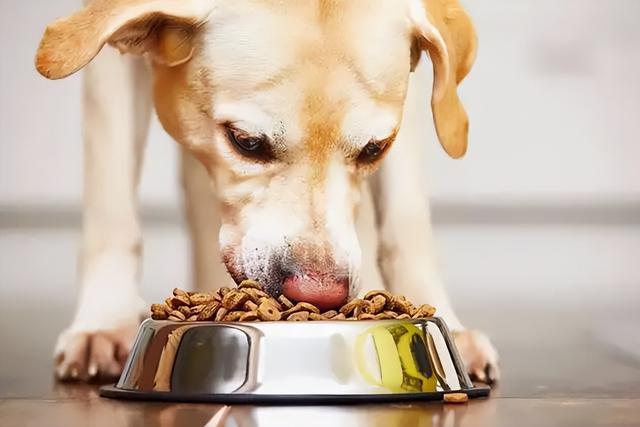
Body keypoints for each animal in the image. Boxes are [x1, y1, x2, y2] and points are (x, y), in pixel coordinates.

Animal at [35, 0, 498, 382]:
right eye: (246, 142)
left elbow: (407, 222)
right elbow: (111, 206)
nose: (319, 294)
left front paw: (444, 322)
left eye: (374, 149)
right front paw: (104, 322)